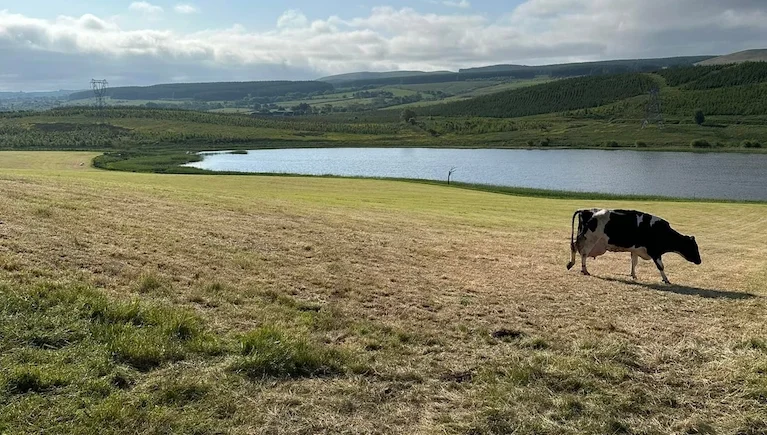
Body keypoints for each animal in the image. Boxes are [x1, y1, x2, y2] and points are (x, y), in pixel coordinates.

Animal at [566, 208, 701, 284]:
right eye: (693, 247)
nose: (700, 261)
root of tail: (586, 211)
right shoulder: (655, 252)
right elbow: (661, 266)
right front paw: (666, 280)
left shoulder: (636, 250)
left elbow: (634, 262)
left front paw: (633, 275)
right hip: (590, 239)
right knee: (583, 254)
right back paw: (584, 270)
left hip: (583, 238)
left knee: (574, 246)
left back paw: (571, 264)